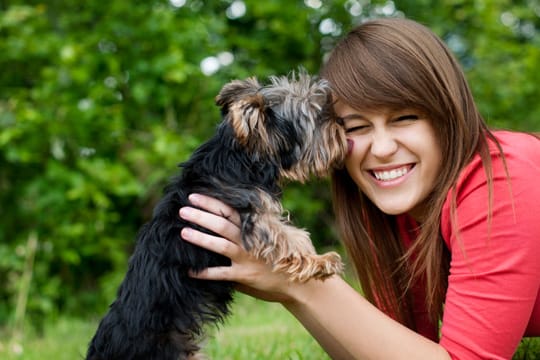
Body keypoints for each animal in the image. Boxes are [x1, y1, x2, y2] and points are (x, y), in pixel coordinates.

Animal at [84, 71, 346, 358]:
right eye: (317, 116)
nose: (341, 124)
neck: (240, 156)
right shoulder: (253, 214)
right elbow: (289, 237)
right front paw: (321, 261)